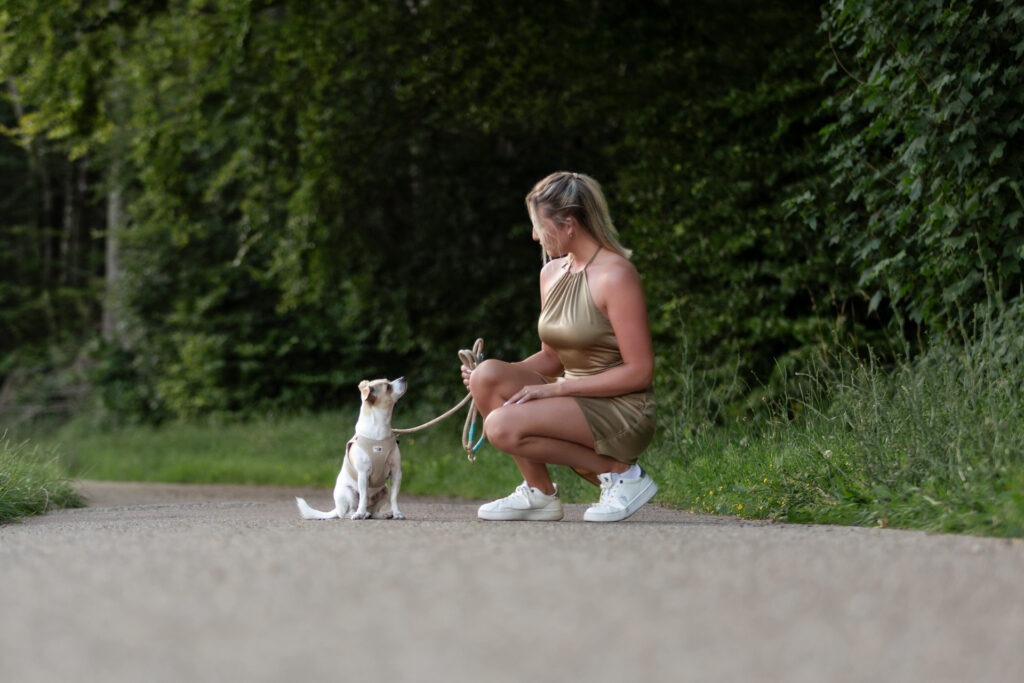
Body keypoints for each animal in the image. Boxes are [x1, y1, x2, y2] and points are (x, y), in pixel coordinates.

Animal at [294, 376, 405, 520]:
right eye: (388, 387)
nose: (404, 378)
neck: (379, 431)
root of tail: (337, 509)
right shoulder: (363, 474)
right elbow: (363, 497)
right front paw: (360, 513)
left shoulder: (396, 472)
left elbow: (394, 498)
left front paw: (397, 513)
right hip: (348, 493)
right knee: (347, 512)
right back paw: (360, 514)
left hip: (383, 492)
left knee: (375, 510)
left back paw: (384, 513)